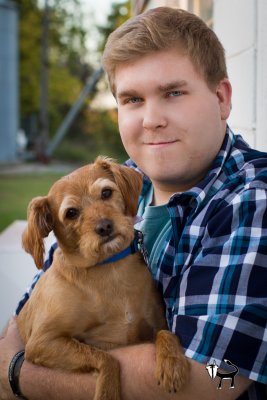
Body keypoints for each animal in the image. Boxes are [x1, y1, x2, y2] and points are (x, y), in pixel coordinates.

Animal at [17, 157, 191, 400]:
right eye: (71, 213)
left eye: (106, 192)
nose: (105, 226)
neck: (110, 268)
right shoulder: (42, 341)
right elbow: (106, 358)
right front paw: (108, 392)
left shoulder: (157, 323)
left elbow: (166, 332)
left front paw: (172, 362)